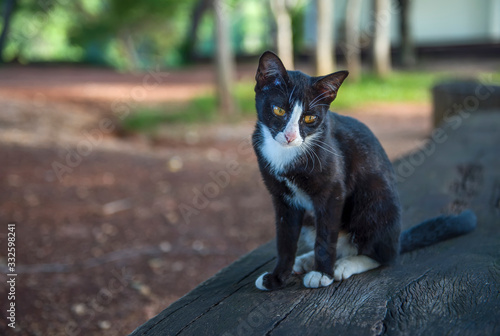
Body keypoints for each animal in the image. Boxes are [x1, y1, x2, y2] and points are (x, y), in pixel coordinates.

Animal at [252, 51, 474, 290]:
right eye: (279, 110)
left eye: (310, 118)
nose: (290, 136)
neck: (285, 154)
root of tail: (396, 240)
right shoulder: (282, 198)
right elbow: (285, 239)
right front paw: (277, 278)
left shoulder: (333, 191)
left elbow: (326, 235)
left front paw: (322, 274)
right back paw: (306, 259)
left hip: (374, 200)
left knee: (383, 256)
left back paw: (344, 264)